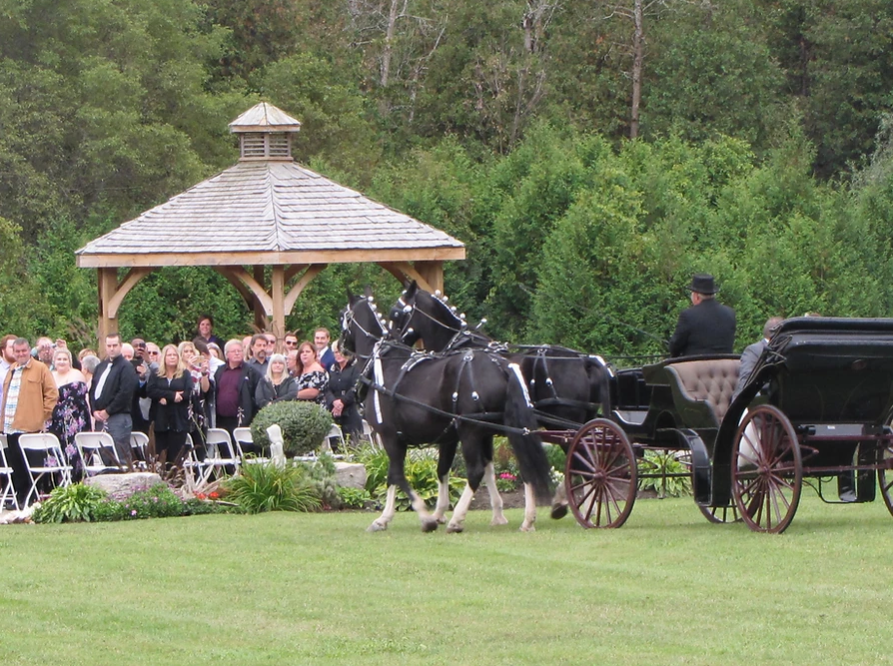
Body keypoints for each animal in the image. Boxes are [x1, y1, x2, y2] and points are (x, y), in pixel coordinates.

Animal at [340, 294, 552, 532]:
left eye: (397, 312)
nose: (339, 346)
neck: (383, 366)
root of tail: (503, 366)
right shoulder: (452, 436)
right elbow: (440, 470)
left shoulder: (390, 437)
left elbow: (396, 474)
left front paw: (418, 517)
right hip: (509, 428)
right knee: (526, 466)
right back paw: (529, 519)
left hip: (471, 430)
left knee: (476, 471)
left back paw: (457, 519)